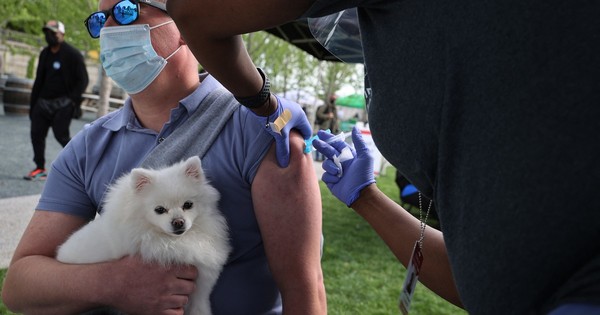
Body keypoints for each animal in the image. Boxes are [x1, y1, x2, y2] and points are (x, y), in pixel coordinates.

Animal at [56, 156, 231, 315]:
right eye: (159, 210)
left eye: (188, 205)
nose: (178, 222)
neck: (173, 240)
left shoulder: (202, 285)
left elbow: (199, 307)